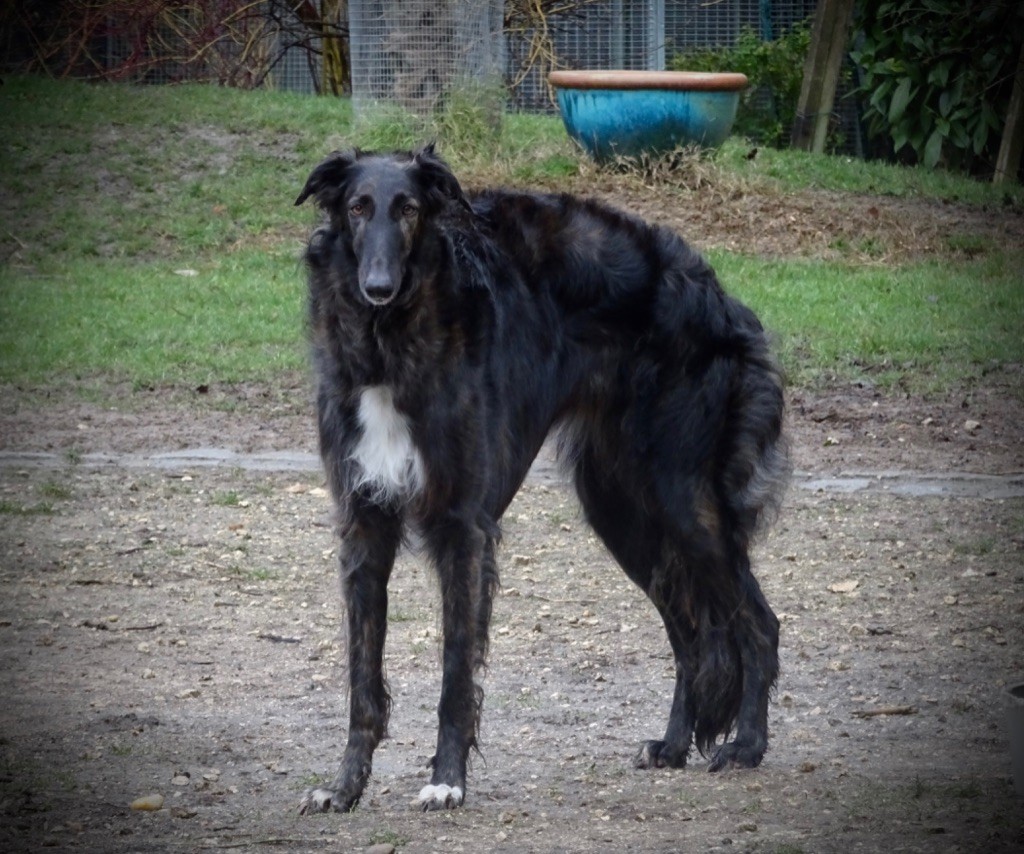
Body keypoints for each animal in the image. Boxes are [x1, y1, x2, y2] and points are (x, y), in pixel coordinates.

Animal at [292, 143, 786, 806]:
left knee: (757, 623)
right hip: (621, 509)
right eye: (357, 207)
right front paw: (344, 787)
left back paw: (748, 746)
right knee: (690, 637)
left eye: (410, 210)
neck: (390, 342)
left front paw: (446, 782)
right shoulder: (364, 522)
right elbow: (361, 679)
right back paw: (673, 745)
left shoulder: (463, 526)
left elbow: (455, 672)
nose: (378, 287)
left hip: (681, 497)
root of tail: (718, 292)